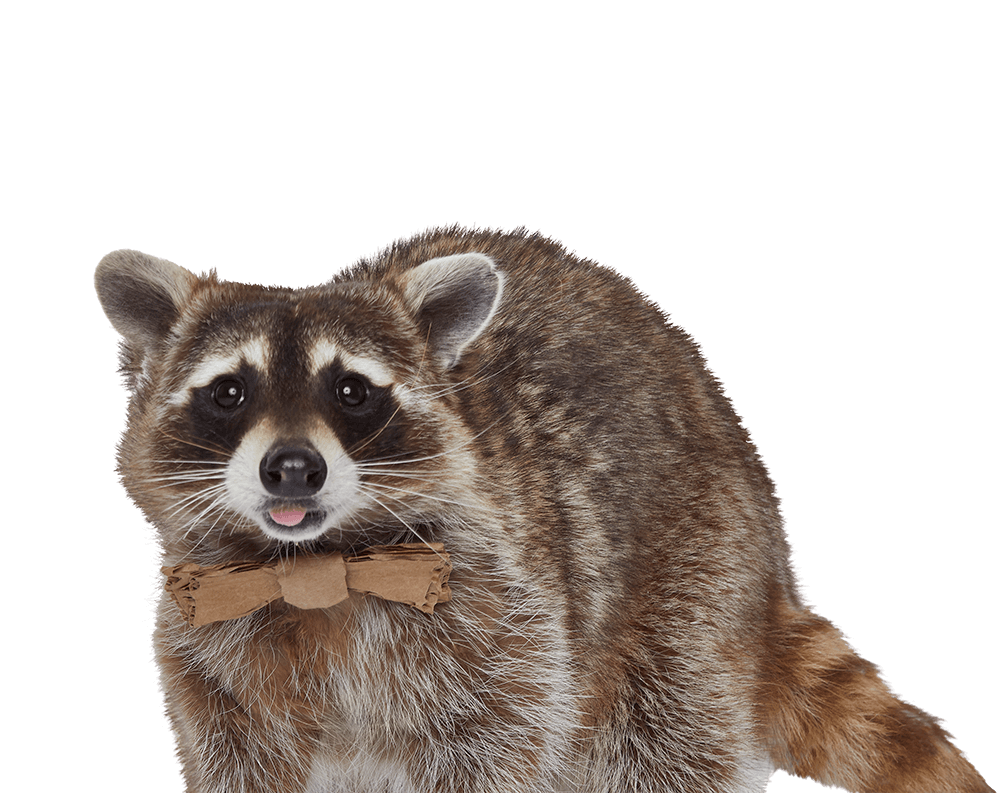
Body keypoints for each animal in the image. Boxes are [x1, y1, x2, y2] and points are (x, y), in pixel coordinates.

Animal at [95, 225, 991, 793]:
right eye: (229, 391)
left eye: (351, 391)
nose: (292, 469)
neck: (316, 569)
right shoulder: (208, 641)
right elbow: (238, 750)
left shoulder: (497, 616)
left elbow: (496, 740)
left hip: (682, 587)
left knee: (663, 742)